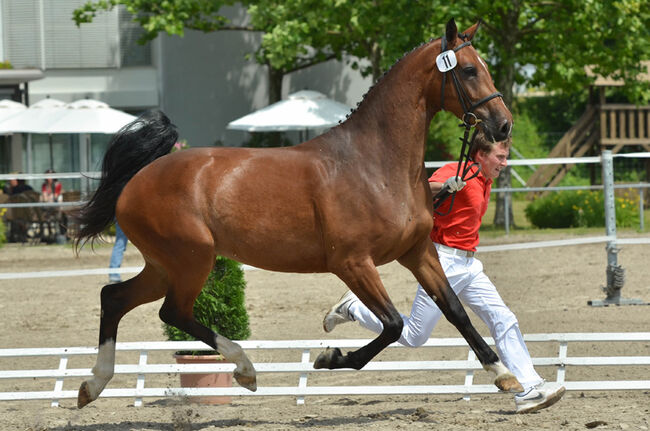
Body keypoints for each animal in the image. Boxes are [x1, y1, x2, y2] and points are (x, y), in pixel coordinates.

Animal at [73, 17, 520, 408]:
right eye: (467, 70)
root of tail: (138, 179)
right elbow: (393, 324)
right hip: (191, 260)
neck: (375, 163)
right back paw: (245, 369)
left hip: (166, 265)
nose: (503, 126)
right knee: (172, 311)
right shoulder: (352, 263)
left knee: (114, 297)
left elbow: (455, 310)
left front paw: (504, 374)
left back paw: (92, 386)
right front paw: (330, 357)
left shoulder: (418, 252)